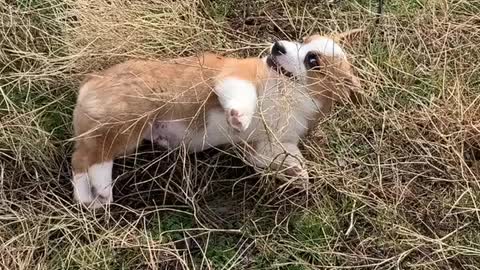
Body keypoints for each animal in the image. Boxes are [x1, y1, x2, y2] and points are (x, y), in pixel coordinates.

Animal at [71, 30, 362, 209]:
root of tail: (90, 81)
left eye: (312, 59)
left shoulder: (265, 145)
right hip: (127, 123)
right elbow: (245, 97)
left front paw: (300, 175)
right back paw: (96, 192)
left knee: (89, 157)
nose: (277, 46)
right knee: (85, 158)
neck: (288, 92)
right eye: (301, 41)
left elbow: (289, 157)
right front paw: (239, 117)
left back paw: (94, 197)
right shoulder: (235, 75)